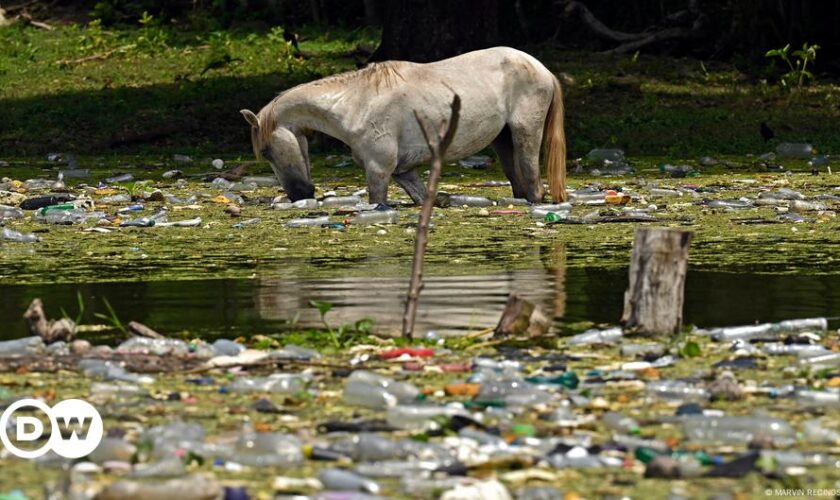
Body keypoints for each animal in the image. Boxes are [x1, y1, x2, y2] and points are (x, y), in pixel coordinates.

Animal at [243, 46, 572, 204]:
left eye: (267, 151)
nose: (300, 195)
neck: (356, 103)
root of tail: (543, 69)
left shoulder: (379, 170)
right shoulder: (403, 171)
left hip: (525, 135)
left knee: (534, 186)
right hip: (502, 141)